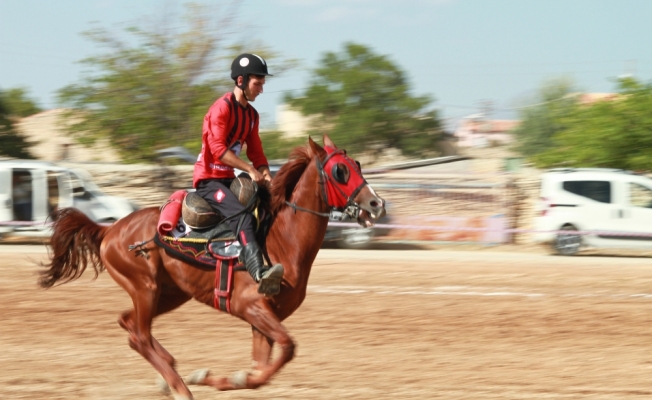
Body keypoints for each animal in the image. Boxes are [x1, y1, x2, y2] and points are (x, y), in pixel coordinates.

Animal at [38, 135, 384, 400]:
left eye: (357, 165)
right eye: (340, 170)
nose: (376, 203)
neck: (281, 240)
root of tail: (109, 229)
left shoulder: (263, 319)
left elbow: (262, 368)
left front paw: (223, 378)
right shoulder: (251, 307)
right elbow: (286, 348)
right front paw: (215, 378)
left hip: (169, 294)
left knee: (129, 323)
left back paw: (170, 372)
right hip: (145, 288)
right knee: (138, 335)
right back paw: (179, 387)